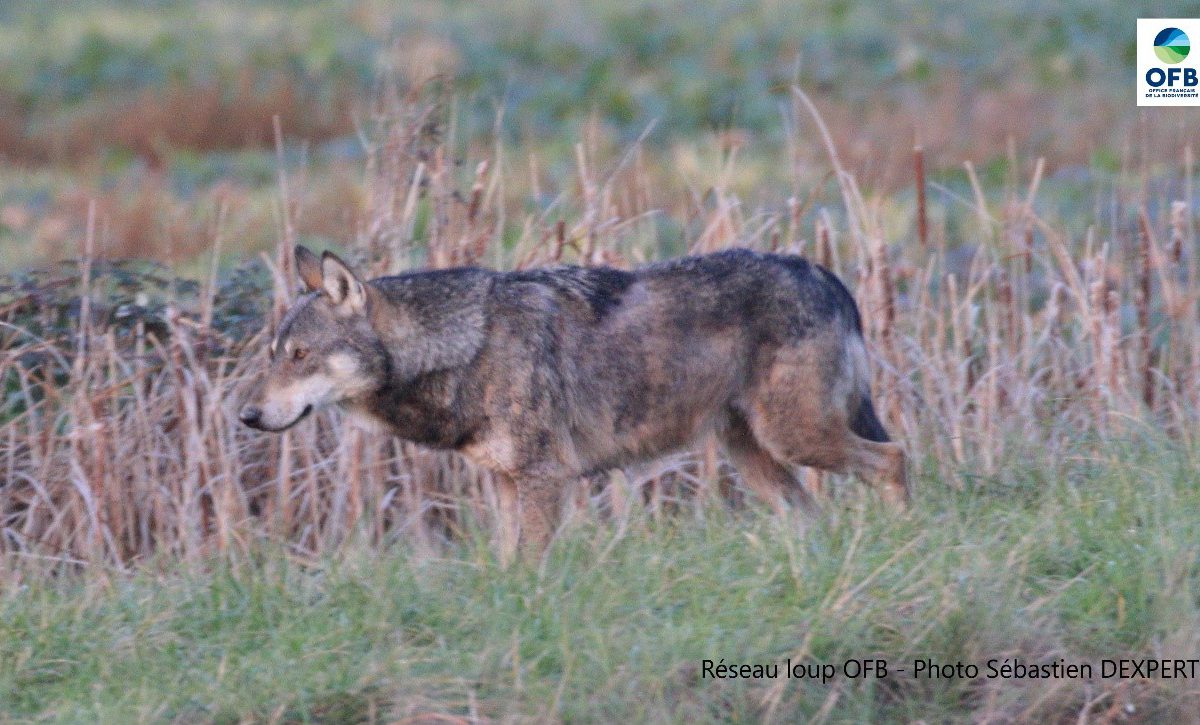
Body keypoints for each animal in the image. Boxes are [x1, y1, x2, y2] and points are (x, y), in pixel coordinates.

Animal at [238, 246, 902, 556]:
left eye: (300, 355)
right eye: (273, 354)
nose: (246, 415)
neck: (466, 346)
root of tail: (819, 270)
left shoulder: (543, 478)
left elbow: (531, 565)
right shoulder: (506, 484)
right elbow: (507, 566)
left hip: (796, 438)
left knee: (894, 460)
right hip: (756, 456)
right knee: (812, 513)